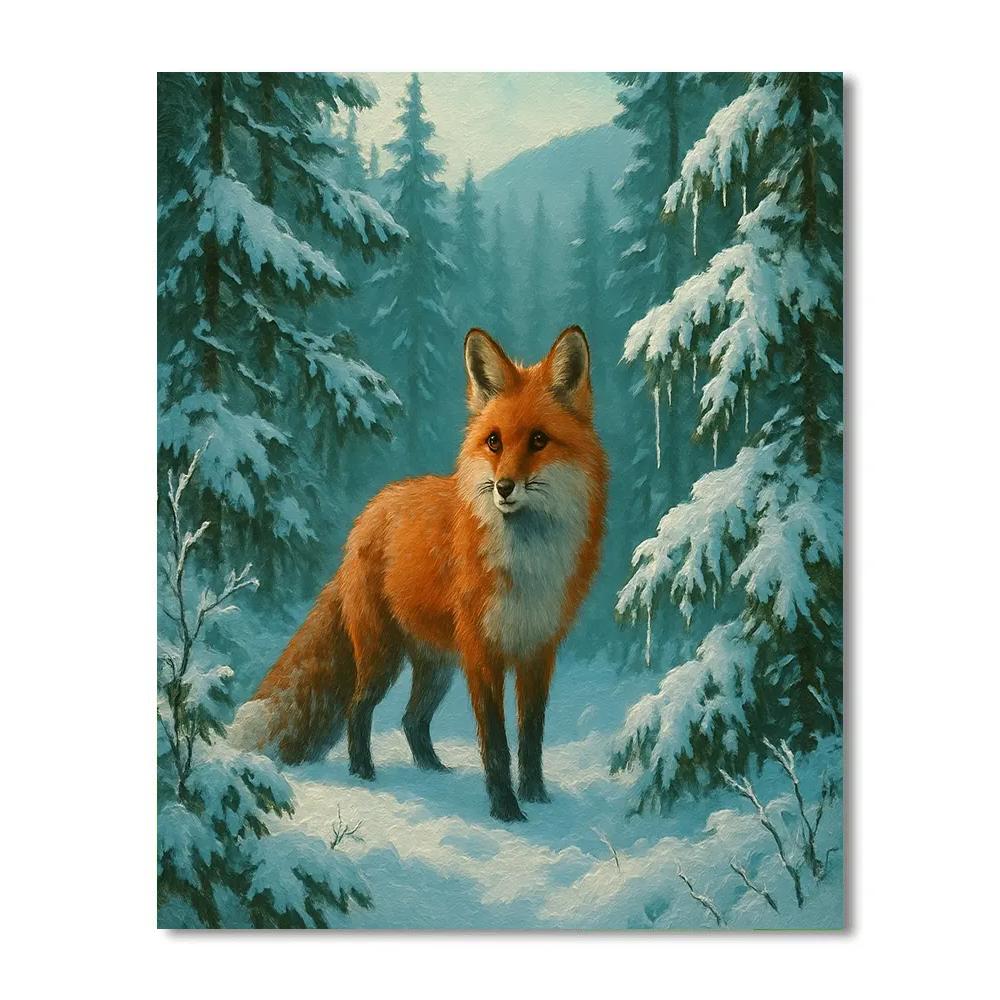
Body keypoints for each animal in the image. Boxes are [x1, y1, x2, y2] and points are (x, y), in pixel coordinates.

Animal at [230, 325, 608, 821]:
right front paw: (507, 811)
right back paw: (363, 774)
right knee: (357, 709)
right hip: (382, 656)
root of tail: (367, 516)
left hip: (436, 667)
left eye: (539, 440)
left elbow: (531, 740)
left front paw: (537, 799)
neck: (526, 560)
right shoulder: (482, 654)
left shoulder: (537, 651)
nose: (504, 488)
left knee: (412, 720)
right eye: (494, 442)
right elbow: (496, 745)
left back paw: (433, 772)